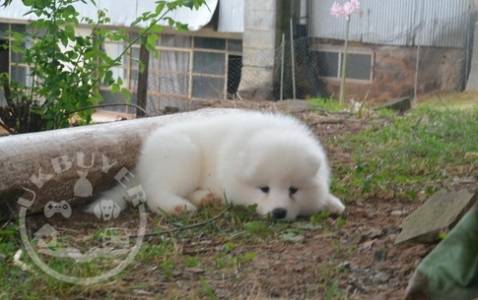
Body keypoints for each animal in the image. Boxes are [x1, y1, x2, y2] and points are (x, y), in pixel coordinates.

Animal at [88, 110, 344, 220]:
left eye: (293, 190)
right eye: (264, 189)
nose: (279, 213)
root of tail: (142, 162)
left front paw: (331, 203)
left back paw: (208, 199)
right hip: (183, 157)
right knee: (155, 194)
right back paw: (179, 207)